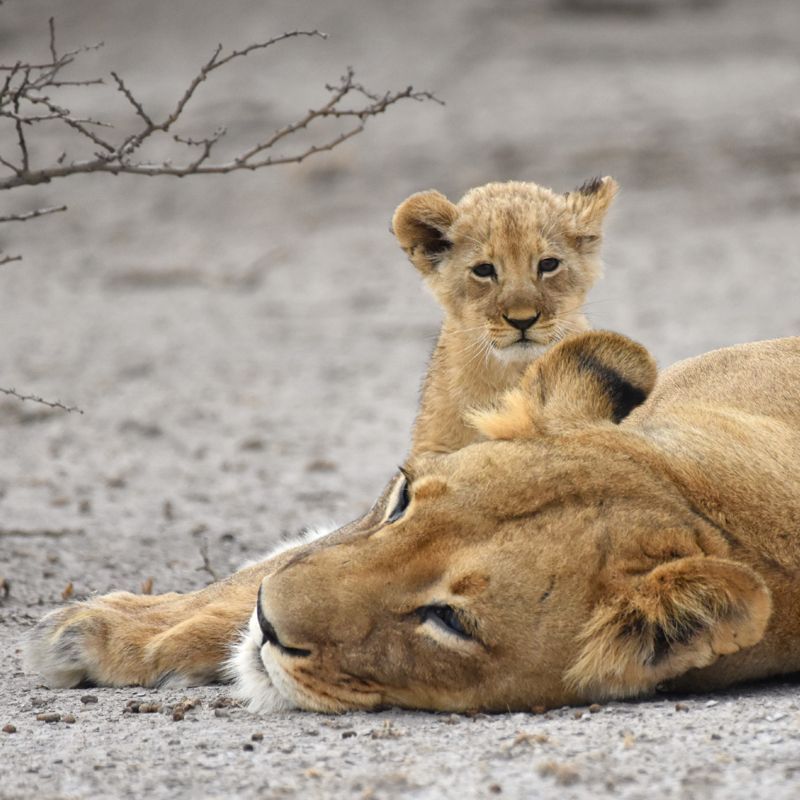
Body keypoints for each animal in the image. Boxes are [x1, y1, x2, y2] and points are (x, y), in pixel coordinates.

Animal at [26, 331, 800, 712]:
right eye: (401, 500)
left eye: (449, 620)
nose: (271, 625)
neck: (708, 503)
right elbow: (269, 565)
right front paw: (108, 630)